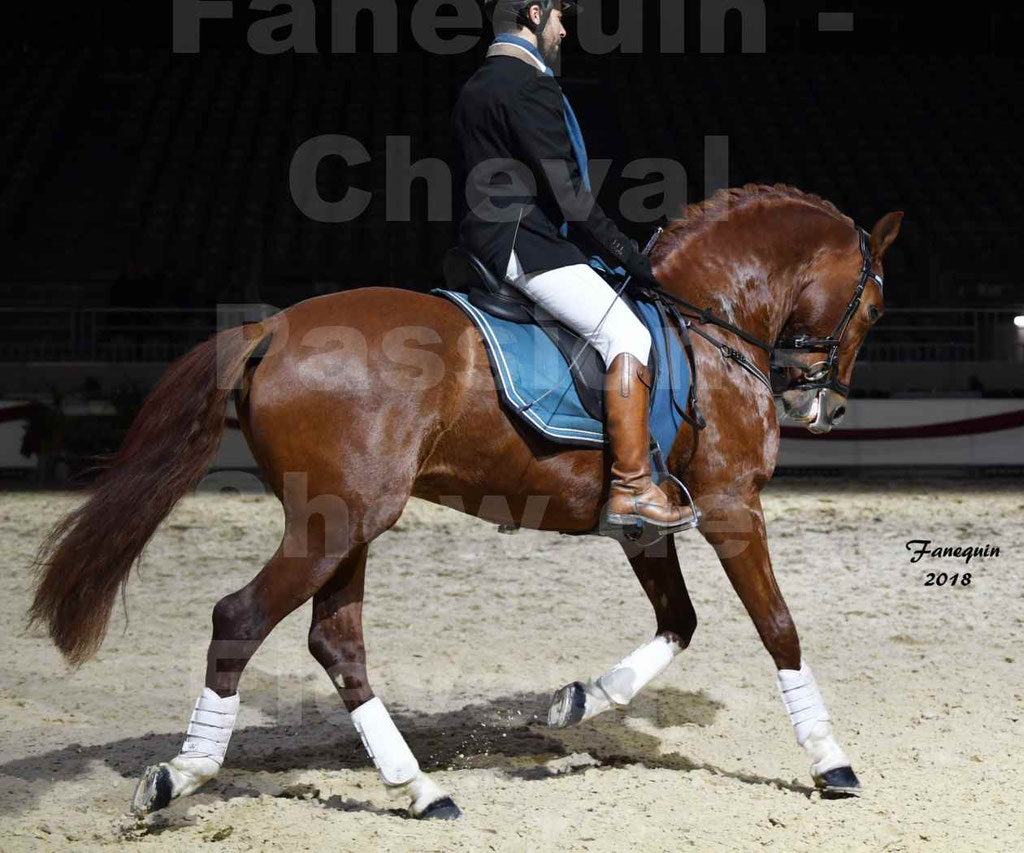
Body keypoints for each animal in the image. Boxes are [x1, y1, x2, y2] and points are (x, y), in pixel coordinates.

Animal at [29, 184, 902, 820]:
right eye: (874, 306)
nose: (826, 408)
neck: (709, 320)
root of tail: (273, 327)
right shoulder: (729, 505)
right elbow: (778, 627)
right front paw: (832, 762)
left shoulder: (646, 525)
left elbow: (678, 622)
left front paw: (577, 700)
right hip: (335, 524)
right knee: (239, 618)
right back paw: (179, 776)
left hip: (346, 523)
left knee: (336, 642)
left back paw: (420, 788)